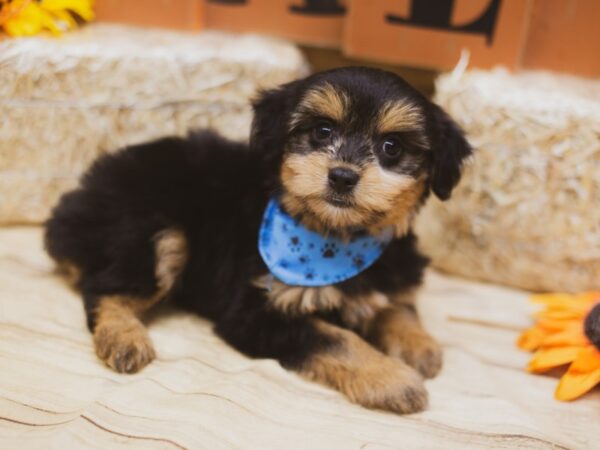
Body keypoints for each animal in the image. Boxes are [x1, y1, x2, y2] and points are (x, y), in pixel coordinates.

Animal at [44, 65, 472, 414]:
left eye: (391, 148)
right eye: (322, 132)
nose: (342, 176)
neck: (338, 237)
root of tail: (78, 198)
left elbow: (397, 306)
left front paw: (419, 345)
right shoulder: (255, 310)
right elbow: (334, 338)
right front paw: (391, 378)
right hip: (152, 233)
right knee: (103, 288)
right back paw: (124, 337)